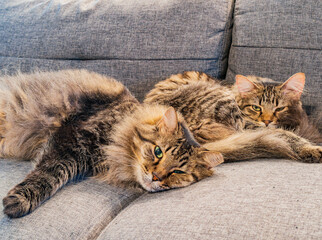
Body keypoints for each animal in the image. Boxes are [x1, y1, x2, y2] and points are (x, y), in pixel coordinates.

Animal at [0, 69, 224, 218]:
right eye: (158, 152)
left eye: (178, 172)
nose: (156, 178)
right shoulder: (71, 139)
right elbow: (50, 174)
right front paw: (18, 202)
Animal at [145, 70, 320, 162]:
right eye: (256, 108)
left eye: (279, 108)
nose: (267, 121)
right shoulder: (250, 125)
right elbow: (290, 135)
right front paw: (311, 148)